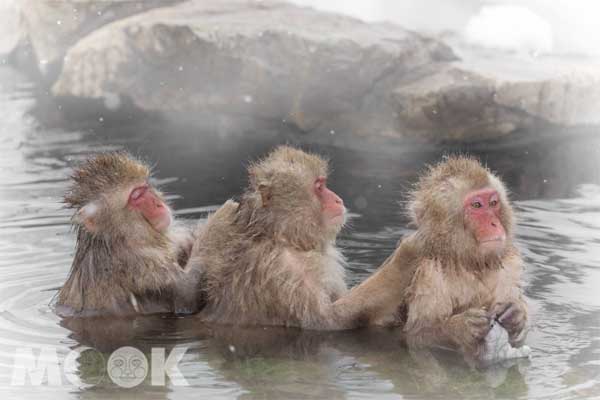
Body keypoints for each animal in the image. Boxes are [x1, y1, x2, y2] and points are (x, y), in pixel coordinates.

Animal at [58, 152, 204, 318]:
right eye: (136, 195)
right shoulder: (140, 267)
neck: (122, 240)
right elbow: (187, 297)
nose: (158, 204)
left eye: (145, 187)